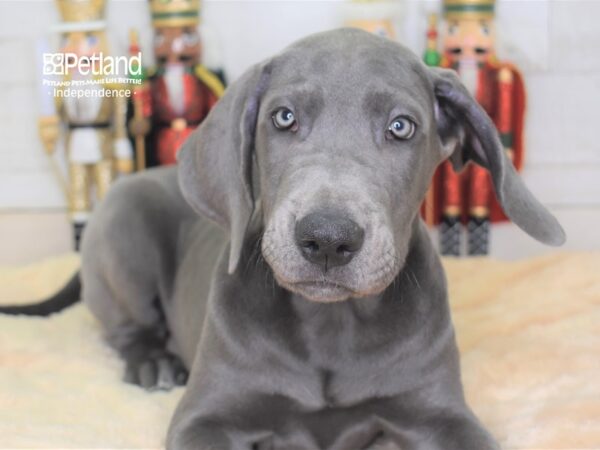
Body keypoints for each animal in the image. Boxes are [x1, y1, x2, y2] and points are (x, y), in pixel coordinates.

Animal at [8, 29, 568, 450]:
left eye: (402, 127)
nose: (328, 239)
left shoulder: (442, 413)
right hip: (123, 221)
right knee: (125, 326)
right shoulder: (207, 416)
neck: (331, 325)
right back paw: (153, 363)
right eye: (283, 117)